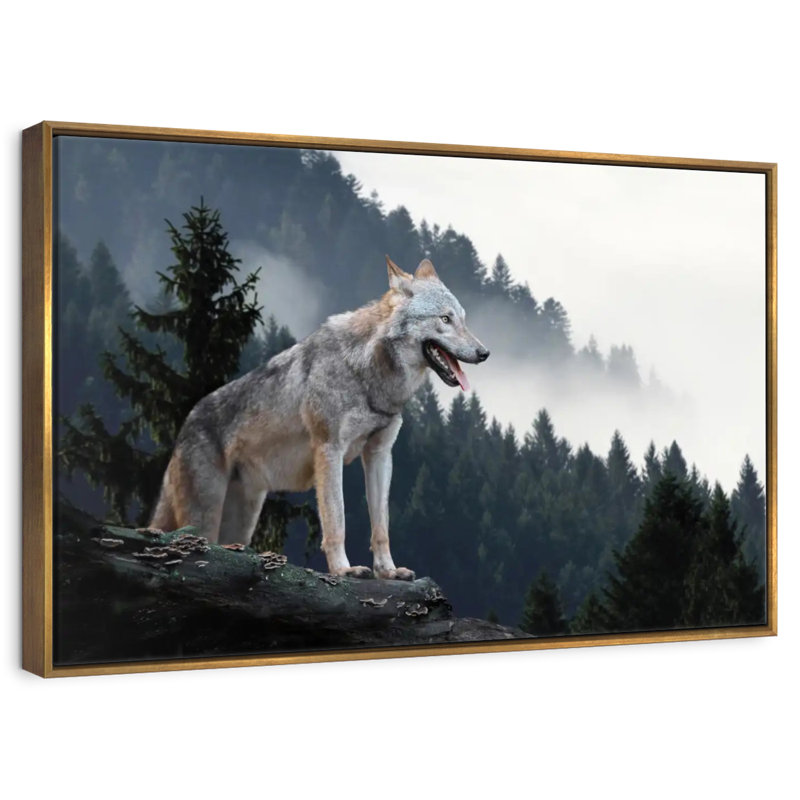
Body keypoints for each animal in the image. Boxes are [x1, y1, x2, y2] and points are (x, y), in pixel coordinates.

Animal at [150, 256, 489, 579]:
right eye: (444, 319)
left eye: (463, 319)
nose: (484, 353)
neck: (368, 374)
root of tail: (186, 423)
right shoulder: (329, 449)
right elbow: (336, 520)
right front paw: (343, 570)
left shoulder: (380, 454)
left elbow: (381, 526)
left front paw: (388, 571)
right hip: (205, 516)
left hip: (242, 521)